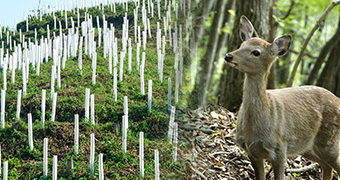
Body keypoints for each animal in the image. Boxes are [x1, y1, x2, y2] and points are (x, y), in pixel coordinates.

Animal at [224, 15, 340, 180]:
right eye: (242, 44)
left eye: (256, 52)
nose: (228, 55)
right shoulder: (251, 151)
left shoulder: (279, 149)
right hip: (307, 147)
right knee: (326, 165)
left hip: (329, 139)